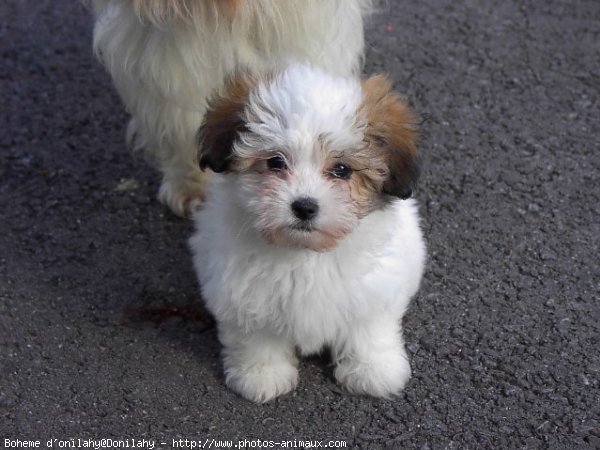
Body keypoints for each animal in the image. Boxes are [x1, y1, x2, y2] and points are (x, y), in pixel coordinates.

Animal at [189, 64, 426, 404]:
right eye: (275, 162)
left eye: (342, 170)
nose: (304, 206)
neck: (306, 253)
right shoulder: (242, 292)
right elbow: (256, 334)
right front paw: (261, 374)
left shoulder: (375, 291)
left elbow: (368, 329)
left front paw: (372, 370)